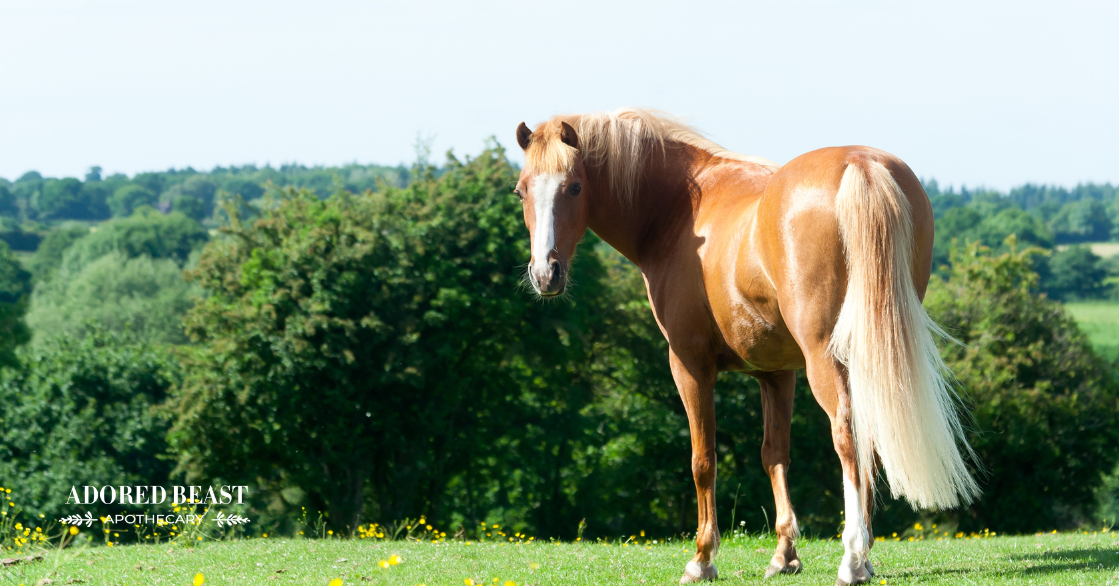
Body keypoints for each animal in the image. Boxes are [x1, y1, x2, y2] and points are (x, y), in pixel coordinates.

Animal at [511, 108, 979, 584]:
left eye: (574, 187)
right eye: (521, 190)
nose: (545, 274)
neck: (679, 209)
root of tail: (861, 163)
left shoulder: (689, 364)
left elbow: (703, 460)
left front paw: (702, 558)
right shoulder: (776, 372)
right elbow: (774, 455)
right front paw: (785, 554)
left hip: (826, 359)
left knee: (847, 434)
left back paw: (851, 558)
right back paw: (862, 558)